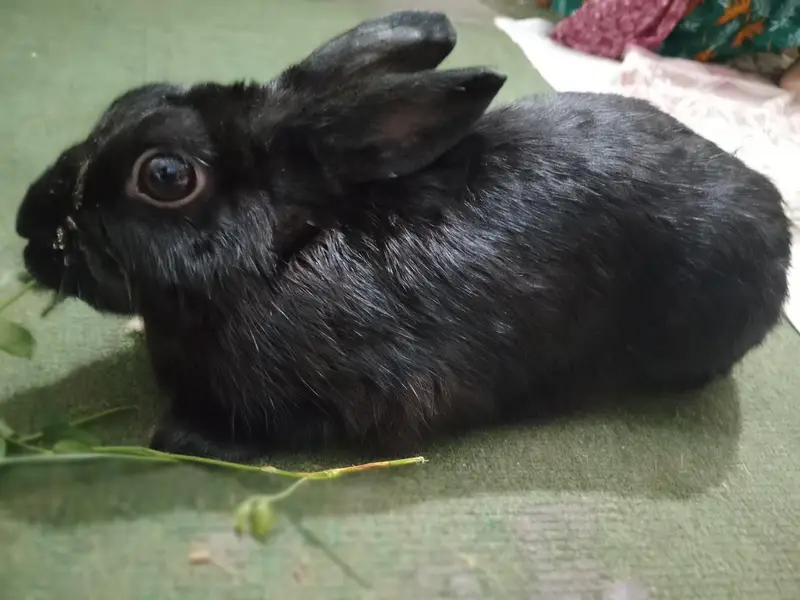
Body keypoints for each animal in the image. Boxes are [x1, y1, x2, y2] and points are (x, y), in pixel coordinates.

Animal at [16, 11, 791, 461]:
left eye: (166, 175)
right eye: (128, 99)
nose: (28, 224)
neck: (283, 251)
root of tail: (775, 215)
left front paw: (181, 435)